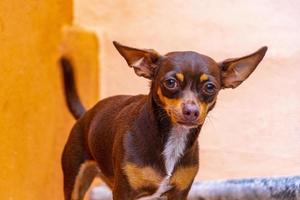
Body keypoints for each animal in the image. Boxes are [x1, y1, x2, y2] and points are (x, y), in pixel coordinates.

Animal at [60, 41, 268, 200]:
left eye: (210, 87)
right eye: (170, 83)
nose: (191, 111)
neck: (172, 139)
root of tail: (86, 115)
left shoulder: (179, 193)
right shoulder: (124, 192)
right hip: (75, 181)